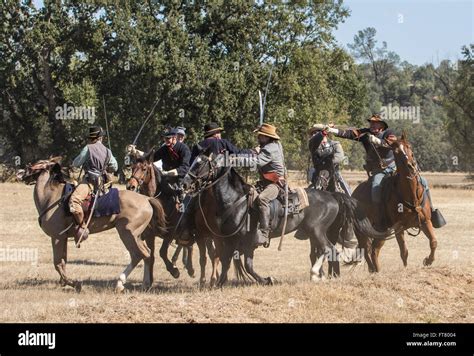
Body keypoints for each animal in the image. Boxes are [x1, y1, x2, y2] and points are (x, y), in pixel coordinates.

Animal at [16, 158, 168, 292]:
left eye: (35, 164)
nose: (20, 173)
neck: (51, 198)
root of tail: (147, 199)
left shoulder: (57, 237)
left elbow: (57, 263)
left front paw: (74, 283)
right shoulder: (62, 238)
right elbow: (63, 261)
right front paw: (64, 282)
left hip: (128, 234)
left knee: (140, 254)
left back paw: (125, 284)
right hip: (135, 235)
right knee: (145, 255)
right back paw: (140, 284)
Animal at [124, 154, 217, 286]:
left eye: (144, 168)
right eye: (132, 167)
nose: (131, 186)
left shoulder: (170, 233)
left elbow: (162, 252)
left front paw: (174, 271)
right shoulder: (150, 236)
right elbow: (151, 255)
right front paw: (149, 280)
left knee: (212, 254)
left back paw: (211, 278)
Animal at [182, 151, 396, 286]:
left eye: (201, 164)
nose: (184, 184)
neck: (236, 201)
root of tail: (332, 195)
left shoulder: (245, 242)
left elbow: (245, 265)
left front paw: (267, 280)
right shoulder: (231, 241)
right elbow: (228, 261)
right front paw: (219, 283)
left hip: (317, 230)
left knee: (329, 249)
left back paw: (318, 275)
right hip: (317, 231)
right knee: (328, 251)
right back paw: (327, 276)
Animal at [352, 132, 440, 272]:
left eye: (409, 146)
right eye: (396, 151)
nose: (411, 165)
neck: (410, 195)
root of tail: (354, 194)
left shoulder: (425, 221)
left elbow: (433, 242)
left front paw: (428, 261)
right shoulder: (399, 227)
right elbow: (404, 252)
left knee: (373, 249)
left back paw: (375, 270)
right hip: (362, 231)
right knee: (367, 249)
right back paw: (374, 270)